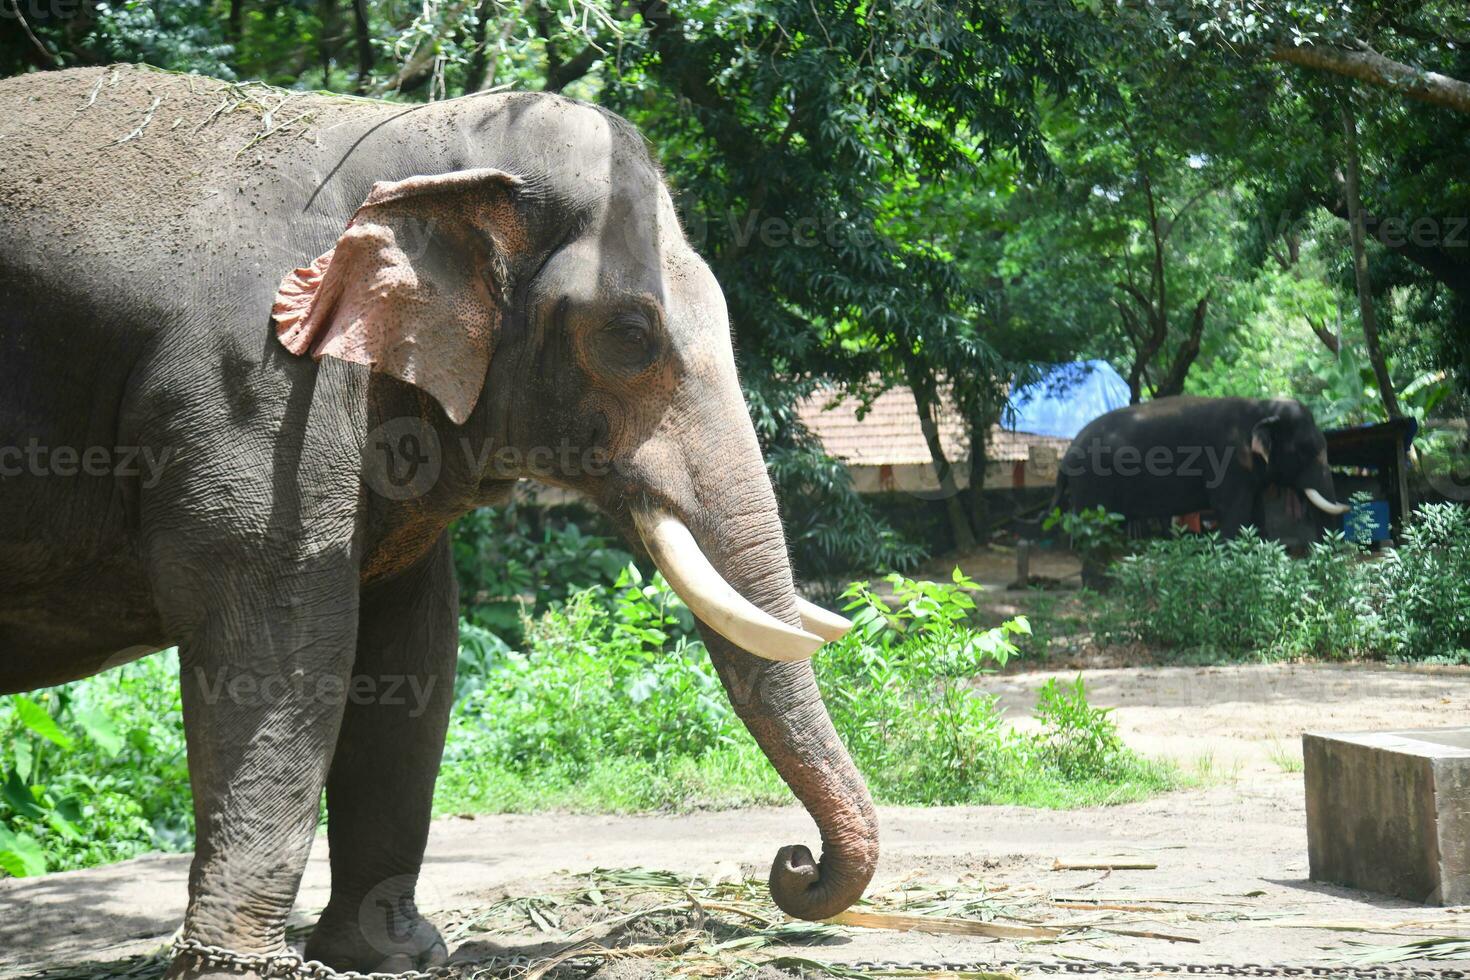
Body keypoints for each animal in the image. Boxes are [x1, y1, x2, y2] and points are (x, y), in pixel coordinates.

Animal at [0, 67, 870, 975]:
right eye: (631, 335)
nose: (792, 863)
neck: (416, 142)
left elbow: (413, 643)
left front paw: (389, 955)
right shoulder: (256, 384)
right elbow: (279, 634)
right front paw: (244, 967)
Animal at [1052, 393, 1346, 540]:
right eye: (1305, 451)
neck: (1262, 407)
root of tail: (1065, 458)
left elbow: (1256, 511)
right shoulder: (1226, 460)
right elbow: (1233, 511)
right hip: (1091, 483)